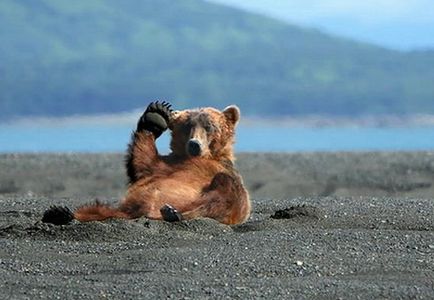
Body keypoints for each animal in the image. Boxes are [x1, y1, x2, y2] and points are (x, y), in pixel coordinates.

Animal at [41, 101, 251, 225]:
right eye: (187, 126)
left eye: (209, 126)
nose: (194, 144)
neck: (199, 158)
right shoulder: (165, 166)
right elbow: (143, 161)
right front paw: (155, 116)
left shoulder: (220, 170)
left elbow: (234, 195)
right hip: (119, 209)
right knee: (97, 210)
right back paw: (60, 213)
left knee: (223, 193)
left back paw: (174, 213)